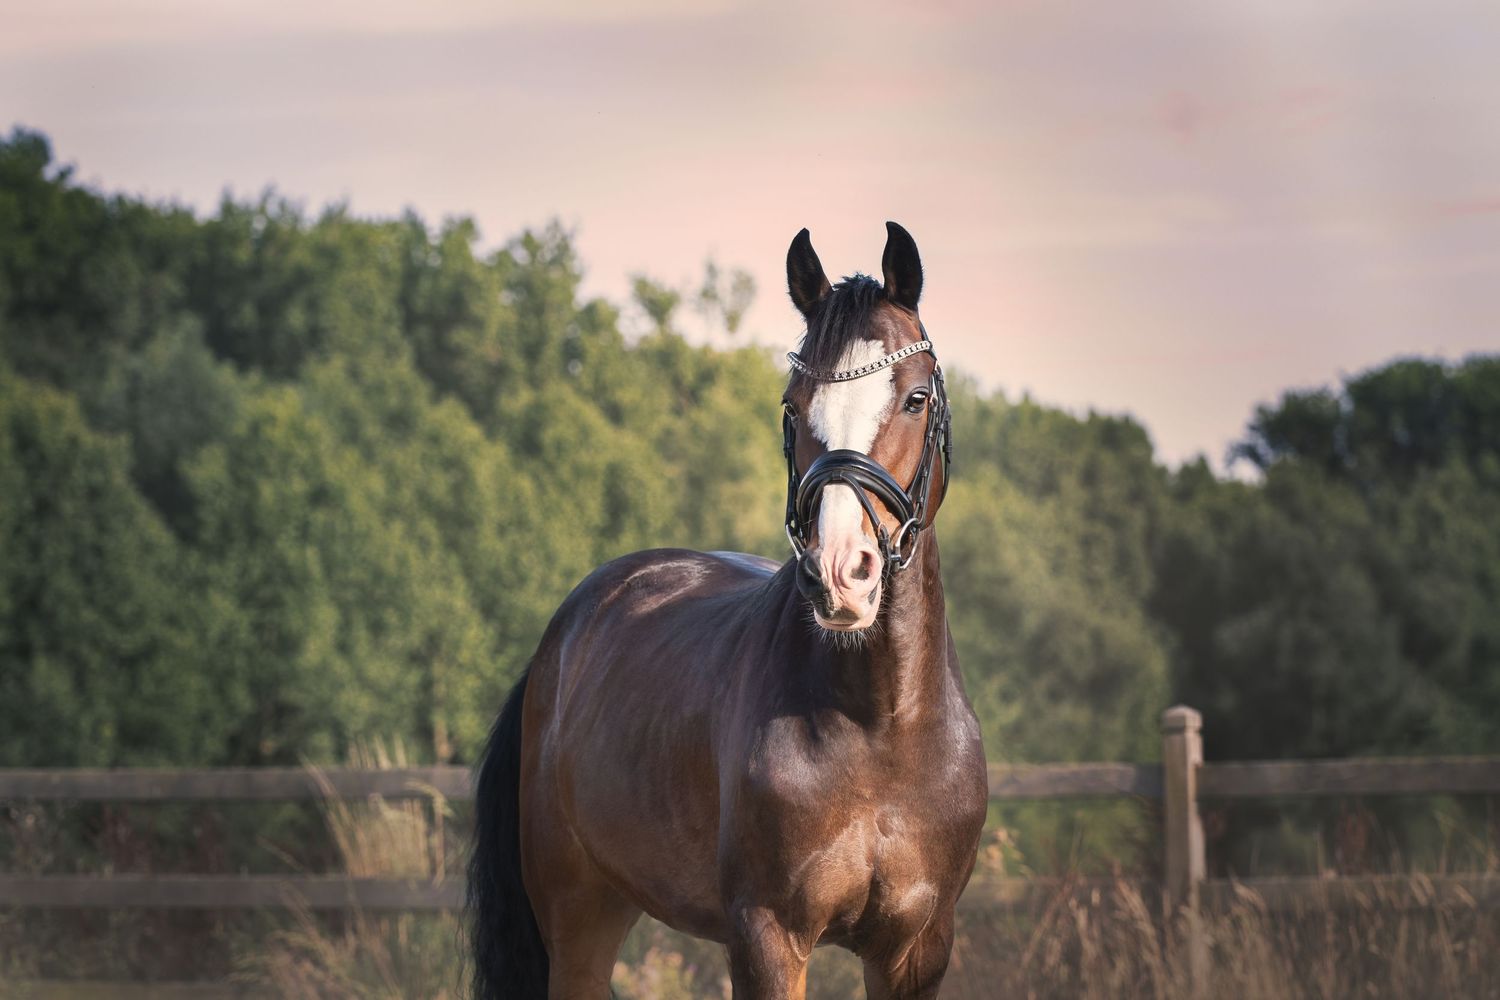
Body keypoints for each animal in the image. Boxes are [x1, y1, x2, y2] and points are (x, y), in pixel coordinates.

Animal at [468, 222, 989, 1000]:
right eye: (793, 406)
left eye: (915, 397)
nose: (841, 574)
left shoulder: (916, 950)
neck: (882, 726)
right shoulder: (768, 937)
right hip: (576, 918)